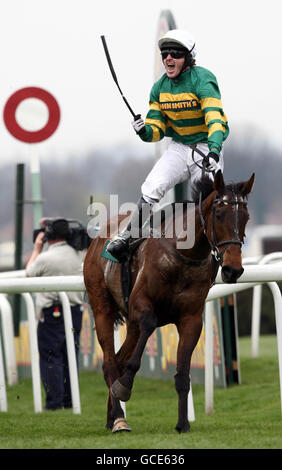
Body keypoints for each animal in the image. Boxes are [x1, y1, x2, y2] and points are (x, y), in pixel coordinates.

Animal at [83, 170, 256, 434]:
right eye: (218, 214)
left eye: (246, 217)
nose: (232, 269)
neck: (183, 255)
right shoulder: (141, 305)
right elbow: (147, 327)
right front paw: (125, 385)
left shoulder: (190, 319)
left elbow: (182, 374)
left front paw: (183, 424)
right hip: (102, 308)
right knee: (110, 362)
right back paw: (119, 418)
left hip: (129, 324)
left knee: (118, 359)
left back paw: (112, 416)